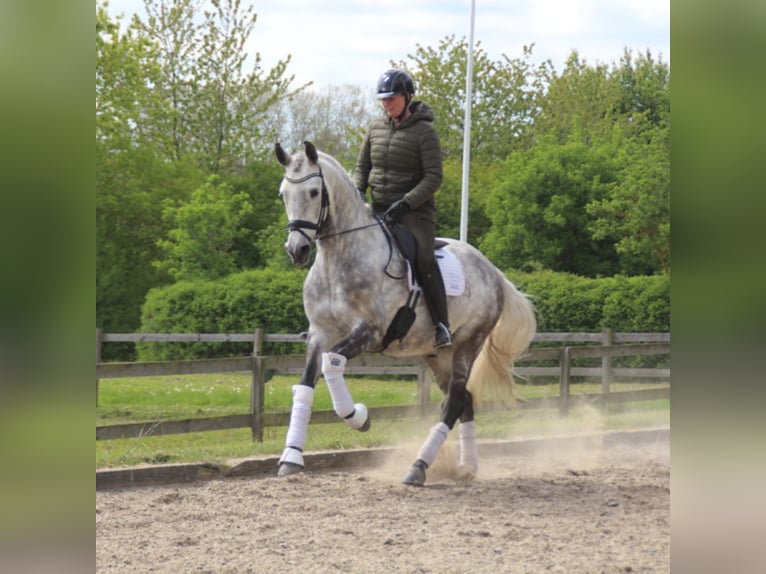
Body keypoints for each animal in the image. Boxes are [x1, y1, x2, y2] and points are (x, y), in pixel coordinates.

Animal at [274, 141, 536, 486]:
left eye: (315, 192)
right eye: (283, 194)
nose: (297, 250)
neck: (338, 260)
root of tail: (493, 271)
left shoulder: (369, 331)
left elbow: (332, 364)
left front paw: (358, 416)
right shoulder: (320, 333)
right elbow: (304, 387)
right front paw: (291, 457)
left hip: (468, 344)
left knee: (454, 401)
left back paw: (419, 466)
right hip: (438, 356)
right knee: (464, 400)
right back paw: (467, 467)